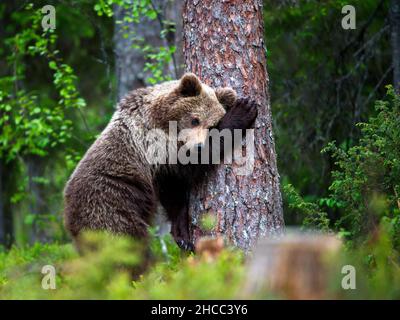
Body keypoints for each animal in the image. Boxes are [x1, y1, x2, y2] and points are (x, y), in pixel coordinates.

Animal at [62, 72, 256, 250]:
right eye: (195, 119)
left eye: (211, 126)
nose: (198, 146)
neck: (161, 117)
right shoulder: (155, 144)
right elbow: (188, 167)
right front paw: (242, 111)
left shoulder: (162, 169)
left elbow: (173, 194)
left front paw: (182, 235)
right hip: (110, 207)